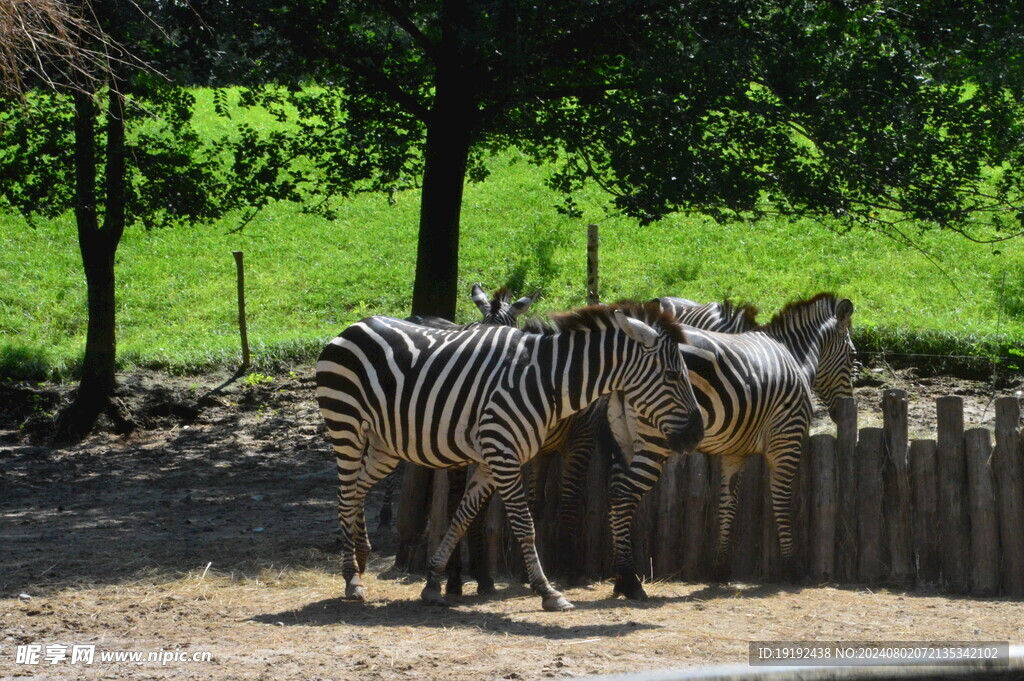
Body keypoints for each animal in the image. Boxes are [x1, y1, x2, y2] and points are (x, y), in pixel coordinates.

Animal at [317, 301, 704, 606]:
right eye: (673, 374)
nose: (697, 433)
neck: (547, 381)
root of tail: (355, 325)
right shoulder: (502, 453)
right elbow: (524, 524)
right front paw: (547, 591)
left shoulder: (493, 459)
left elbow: (462, 518)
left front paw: (432, 582)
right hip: (345, 425)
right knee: (345, 495)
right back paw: (352, 578)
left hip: (384, 445)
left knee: (357, 490)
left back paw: (362, 558)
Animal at [606, 290, 856, 593]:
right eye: (853, 356)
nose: (843, 410)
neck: (796, 358)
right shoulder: (787, 439)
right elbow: (782, 501)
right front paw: (791, 567)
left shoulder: (733, 452)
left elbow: (728, 504)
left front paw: (720, 568)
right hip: (656, 439)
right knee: (623, 495)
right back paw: (629, 580)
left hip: (623, 439)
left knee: (614, 492)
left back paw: (620, 575)